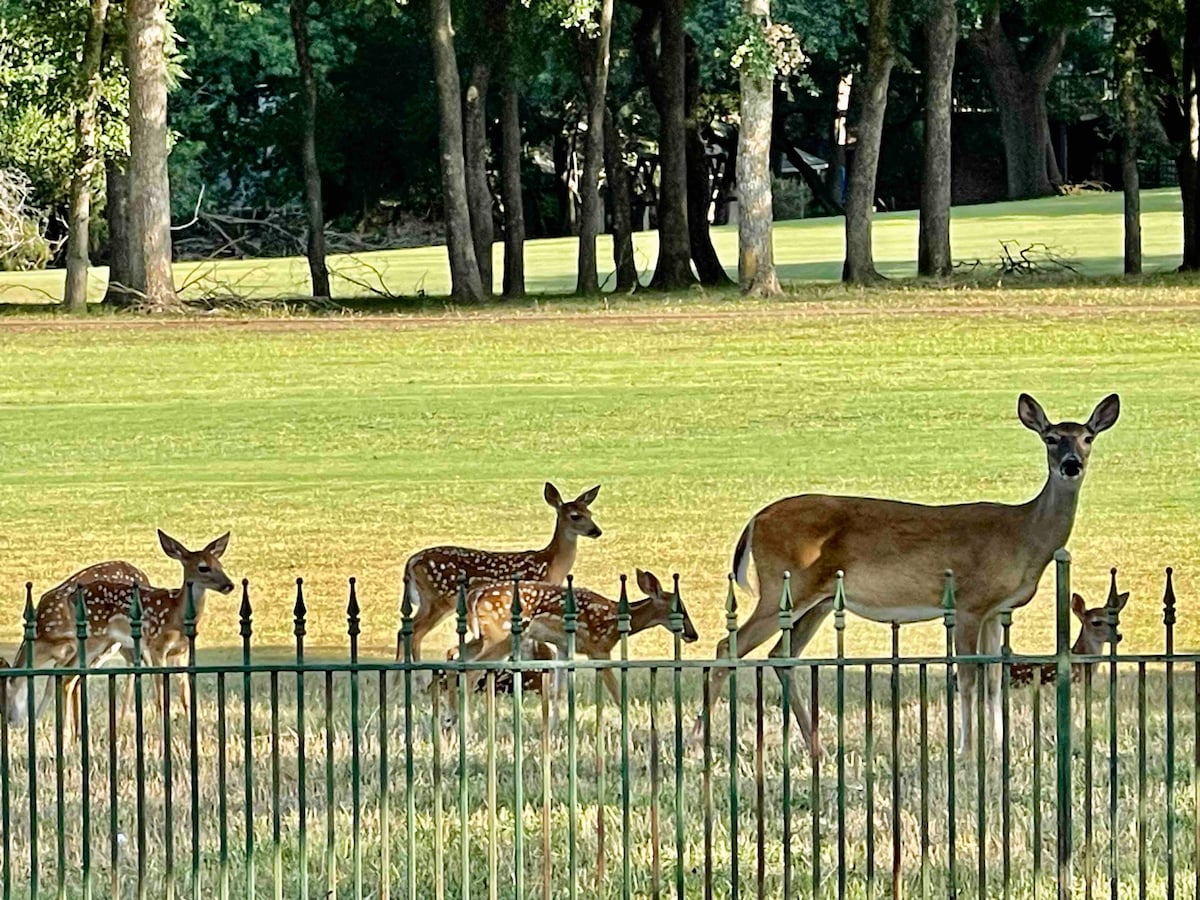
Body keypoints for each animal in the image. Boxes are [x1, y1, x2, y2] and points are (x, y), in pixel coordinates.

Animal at [2, 532, 232, 729]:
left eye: (220, 565)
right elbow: (161, 696)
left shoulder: (179, 652)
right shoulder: (157, 649)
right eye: (203, 567)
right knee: (71, 679)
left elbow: (185, 698)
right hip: (99, 642)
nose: (229, 585)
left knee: (78, 677)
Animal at [400, 482, 600, 672]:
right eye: (575, 516)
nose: (597, 531)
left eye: (590, 513)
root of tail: (411, 561)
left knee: (404, 631)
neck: (550, 565)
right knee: (415, 632)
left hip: (429, 603)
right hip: (437, 600)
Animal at [444, 573, 700, 729]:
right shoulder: (599, 647)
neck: (616, 621)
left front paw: (553, 728)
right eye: (680, 609)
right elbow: (616, 693)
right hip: (501, 635)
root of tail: (475, 596)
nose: (693, 634)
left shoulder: (563, 646)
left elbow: (558, 690)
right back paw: (467, 726)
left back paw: (451, 719)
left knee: (453, 654)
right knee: (470, 672)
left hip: (483, 636)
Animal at [705, 396, 1118, 763]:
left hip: (816, 601)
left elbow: (993, 680)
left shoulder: (995, 611)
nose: (1071, 465)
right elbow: (967, 678)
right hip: (782, 586)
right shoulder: (969, 602)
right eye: (1050, 437)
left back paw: (816, 748)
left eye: (1087, 437)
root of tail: (754, 521)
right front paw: (965, 751)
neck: (1023, 535)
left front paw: (999, 748)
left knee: (780, 655)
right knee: (728, 646)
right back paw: (699, 741)